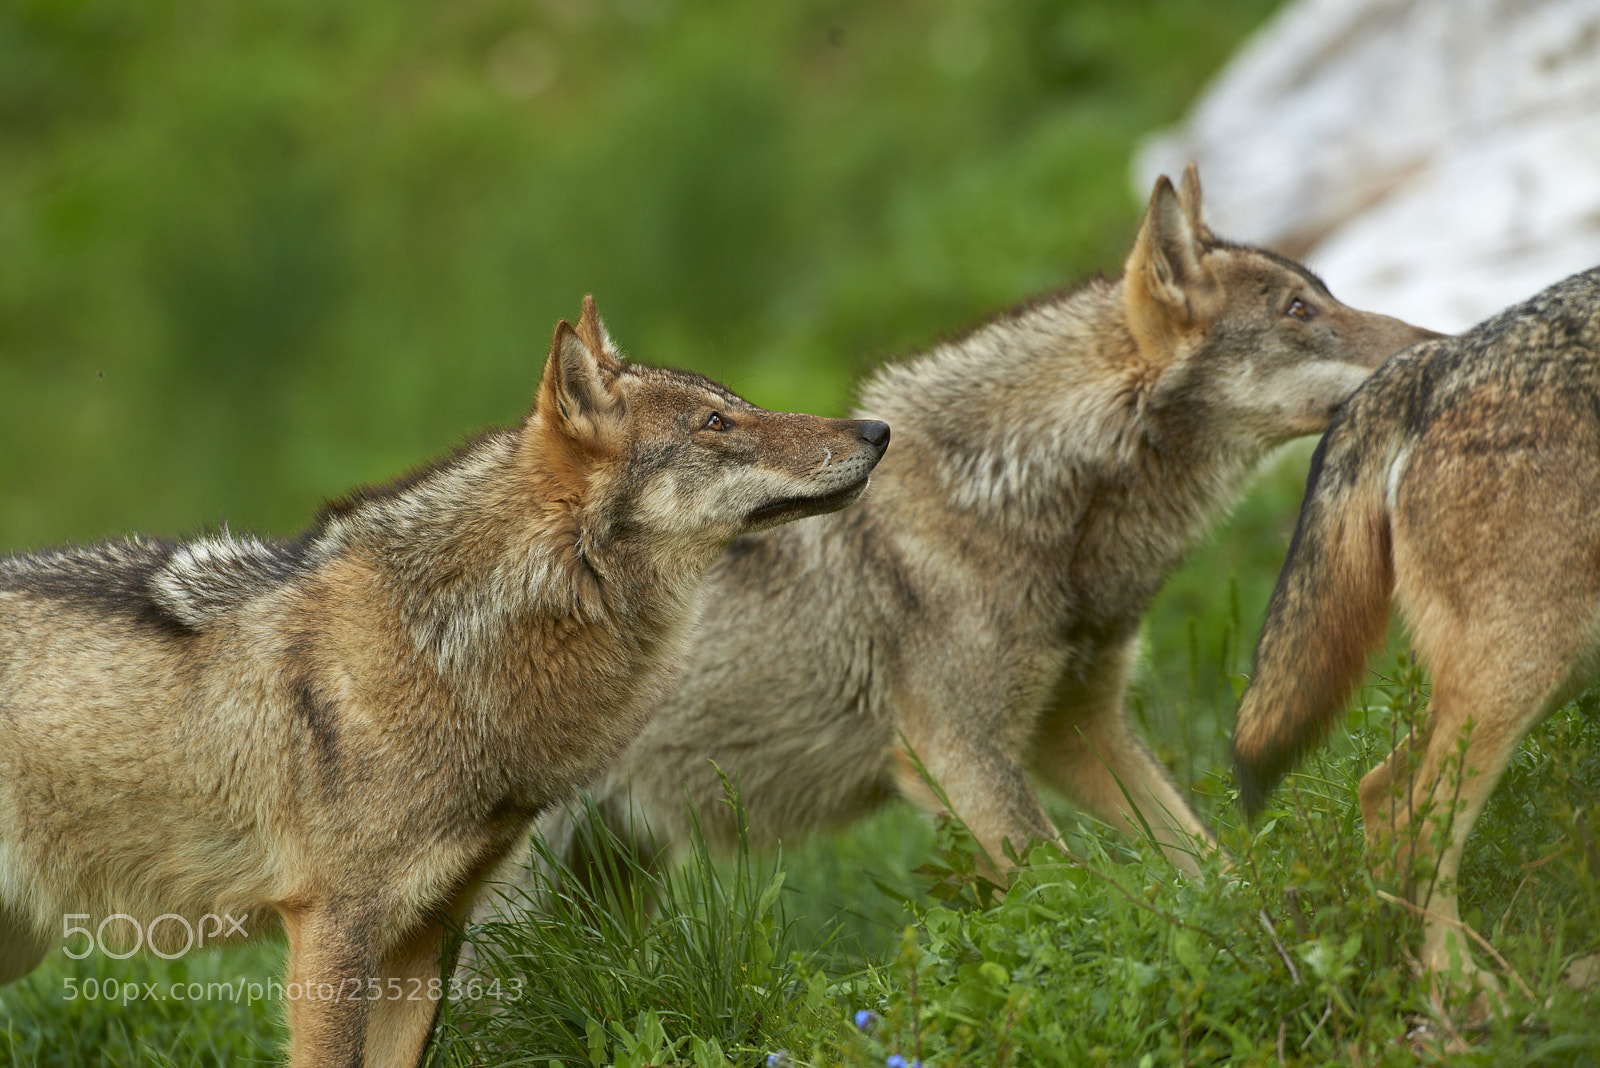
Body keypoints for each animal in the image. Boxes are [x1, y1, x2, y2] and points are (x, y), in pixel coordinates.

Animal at [0, 296, 889, 1068]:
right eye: (716, 424)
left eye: (734, 404)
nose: (877, 429)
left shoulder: (427, 935)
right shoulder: (334, 925)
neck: (447, 650)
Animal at [506, 168, 1438, 907]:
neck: (1016, 499)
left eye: (1325, 293)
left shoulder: (1079, 730)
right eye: (1299, 309)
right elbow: (1076, 895)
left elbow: (1202, 856)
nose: (1441, 345)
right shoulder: (956, 758)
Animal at [1234, 265, 1600, 988]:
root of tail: (1440, 359)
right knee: (1420, 825)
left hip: (1546, 674)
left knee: (1378, 791)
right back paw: (1465, 989)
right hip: (1518, 679)